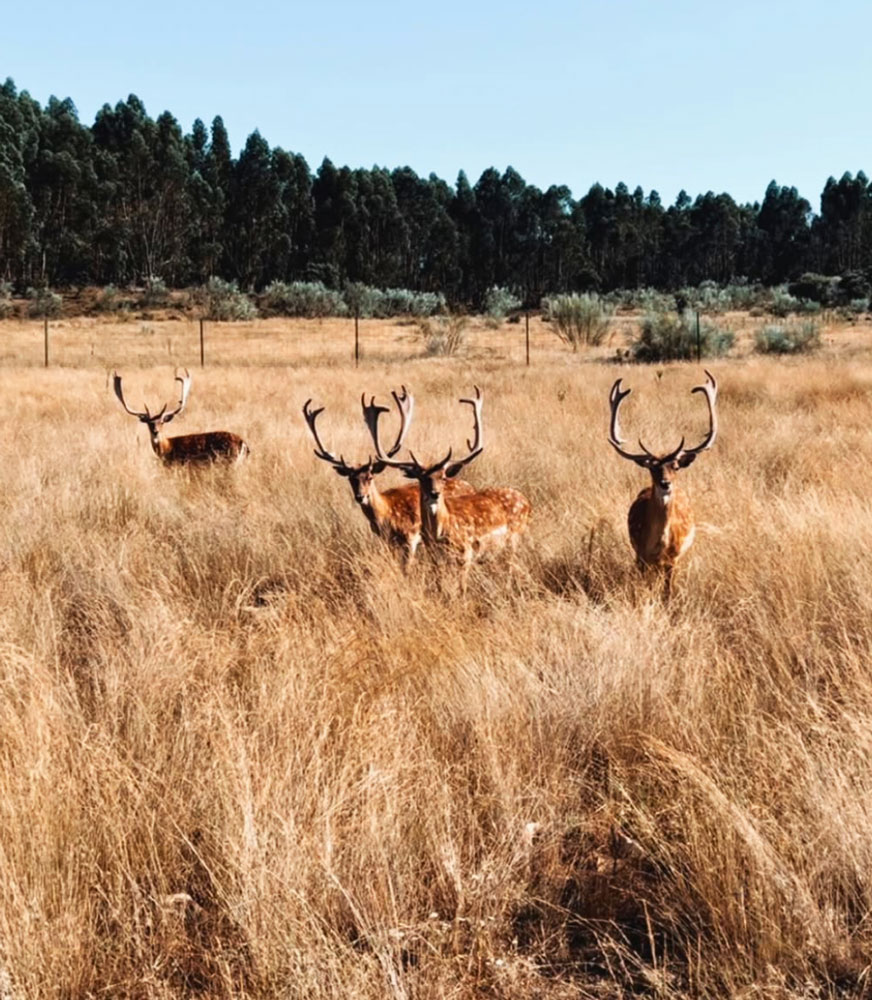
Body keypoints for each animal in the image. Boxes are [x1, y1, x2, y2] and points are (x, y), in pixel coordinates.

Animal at [114, 369, 249, 464]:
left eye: (162, 422)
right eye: (149, 423)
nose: (155, 431)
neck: (168, 449)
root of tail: (244, 444)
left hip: (229, 461)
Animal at [303, 387, 473, 569]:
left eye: (370, 476)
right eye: (350, 478)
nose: (360, 496)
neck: (386, 516)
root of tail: (471, 486)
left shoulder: (411, 538)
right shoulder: (387, 542)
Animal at [364, 385, 531, 592]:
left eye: (443, 477)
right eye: (422, 478)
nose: (434, 494)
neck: (440, 533)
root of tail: (526, 501)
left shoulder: (465, 552)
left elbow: (461, 588)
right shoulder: (433, 556)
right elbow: (439, 585)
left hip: (514, 538)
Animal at [607, 369, 718, 599]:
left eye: (675, 466)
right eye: (652, 468)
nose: (665, 483)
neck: (660, 544)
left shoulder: (673, 559)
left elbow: (668, 592)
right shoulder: (639, 555)